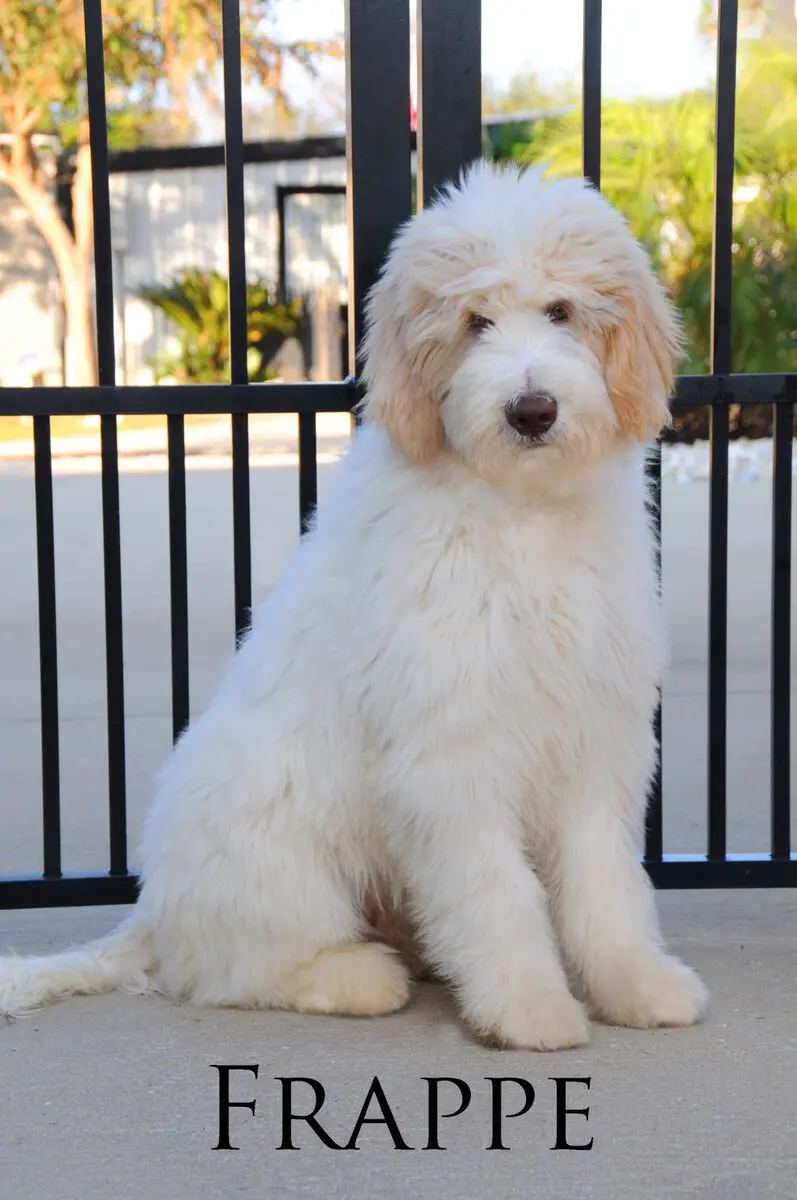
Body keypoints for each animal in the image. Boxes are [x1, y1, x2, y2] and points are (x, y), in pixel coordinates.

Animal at [0, 162, 710, 1051]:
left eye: (561, 311)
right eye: (474, 322)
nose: (531, 410)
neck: (520, 512)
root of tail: (152, 914)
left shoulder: (595, 737)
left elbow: (604, 882)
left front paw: (635, 985)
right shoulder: (451, 751)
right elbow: (496, 892)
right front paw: (529, 1009)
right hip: (280, 850)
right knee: (233, 971)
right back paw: (356, 976)